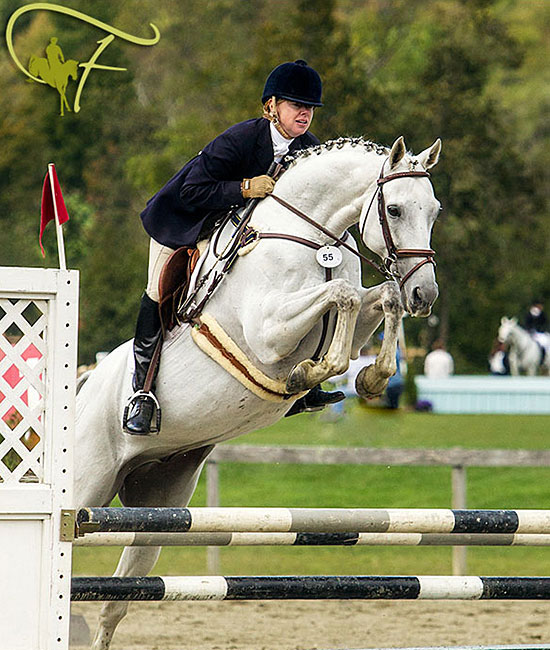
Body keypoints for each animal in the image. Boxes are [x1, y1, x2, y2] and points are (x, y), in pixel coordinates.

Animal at [75, 135, 441, 649]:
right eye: (393, 208)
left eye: (434, 210)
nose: (425, 295)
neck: (314, 236)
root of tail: (83, 388)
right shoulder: (268, 332)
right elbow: (344, 294)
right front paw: (310, 373)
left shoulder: (353, 316)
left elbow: (377, 297)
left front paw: (365, 379)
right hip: (83, 484)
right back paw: (139, 409)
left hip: (159, 506)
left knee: (115, 603)